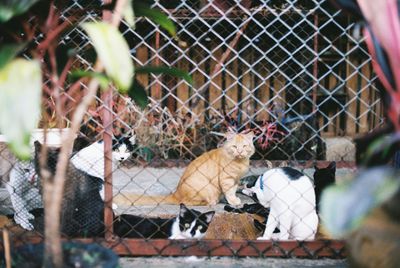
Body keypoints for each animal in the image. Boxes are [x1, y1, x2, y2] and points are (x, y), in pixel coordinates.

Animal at [114, 131, 255, 206]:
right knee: (186, 202)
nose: (240, 151)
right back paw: (212, 202)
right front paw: (234, 201)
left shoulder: (236, 180)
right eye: (235, 147)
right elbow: (230, 192)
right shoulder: (227, 178)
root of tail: (176, 193)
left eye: (244, 146)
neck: (240, 162)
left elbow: (233, 190)